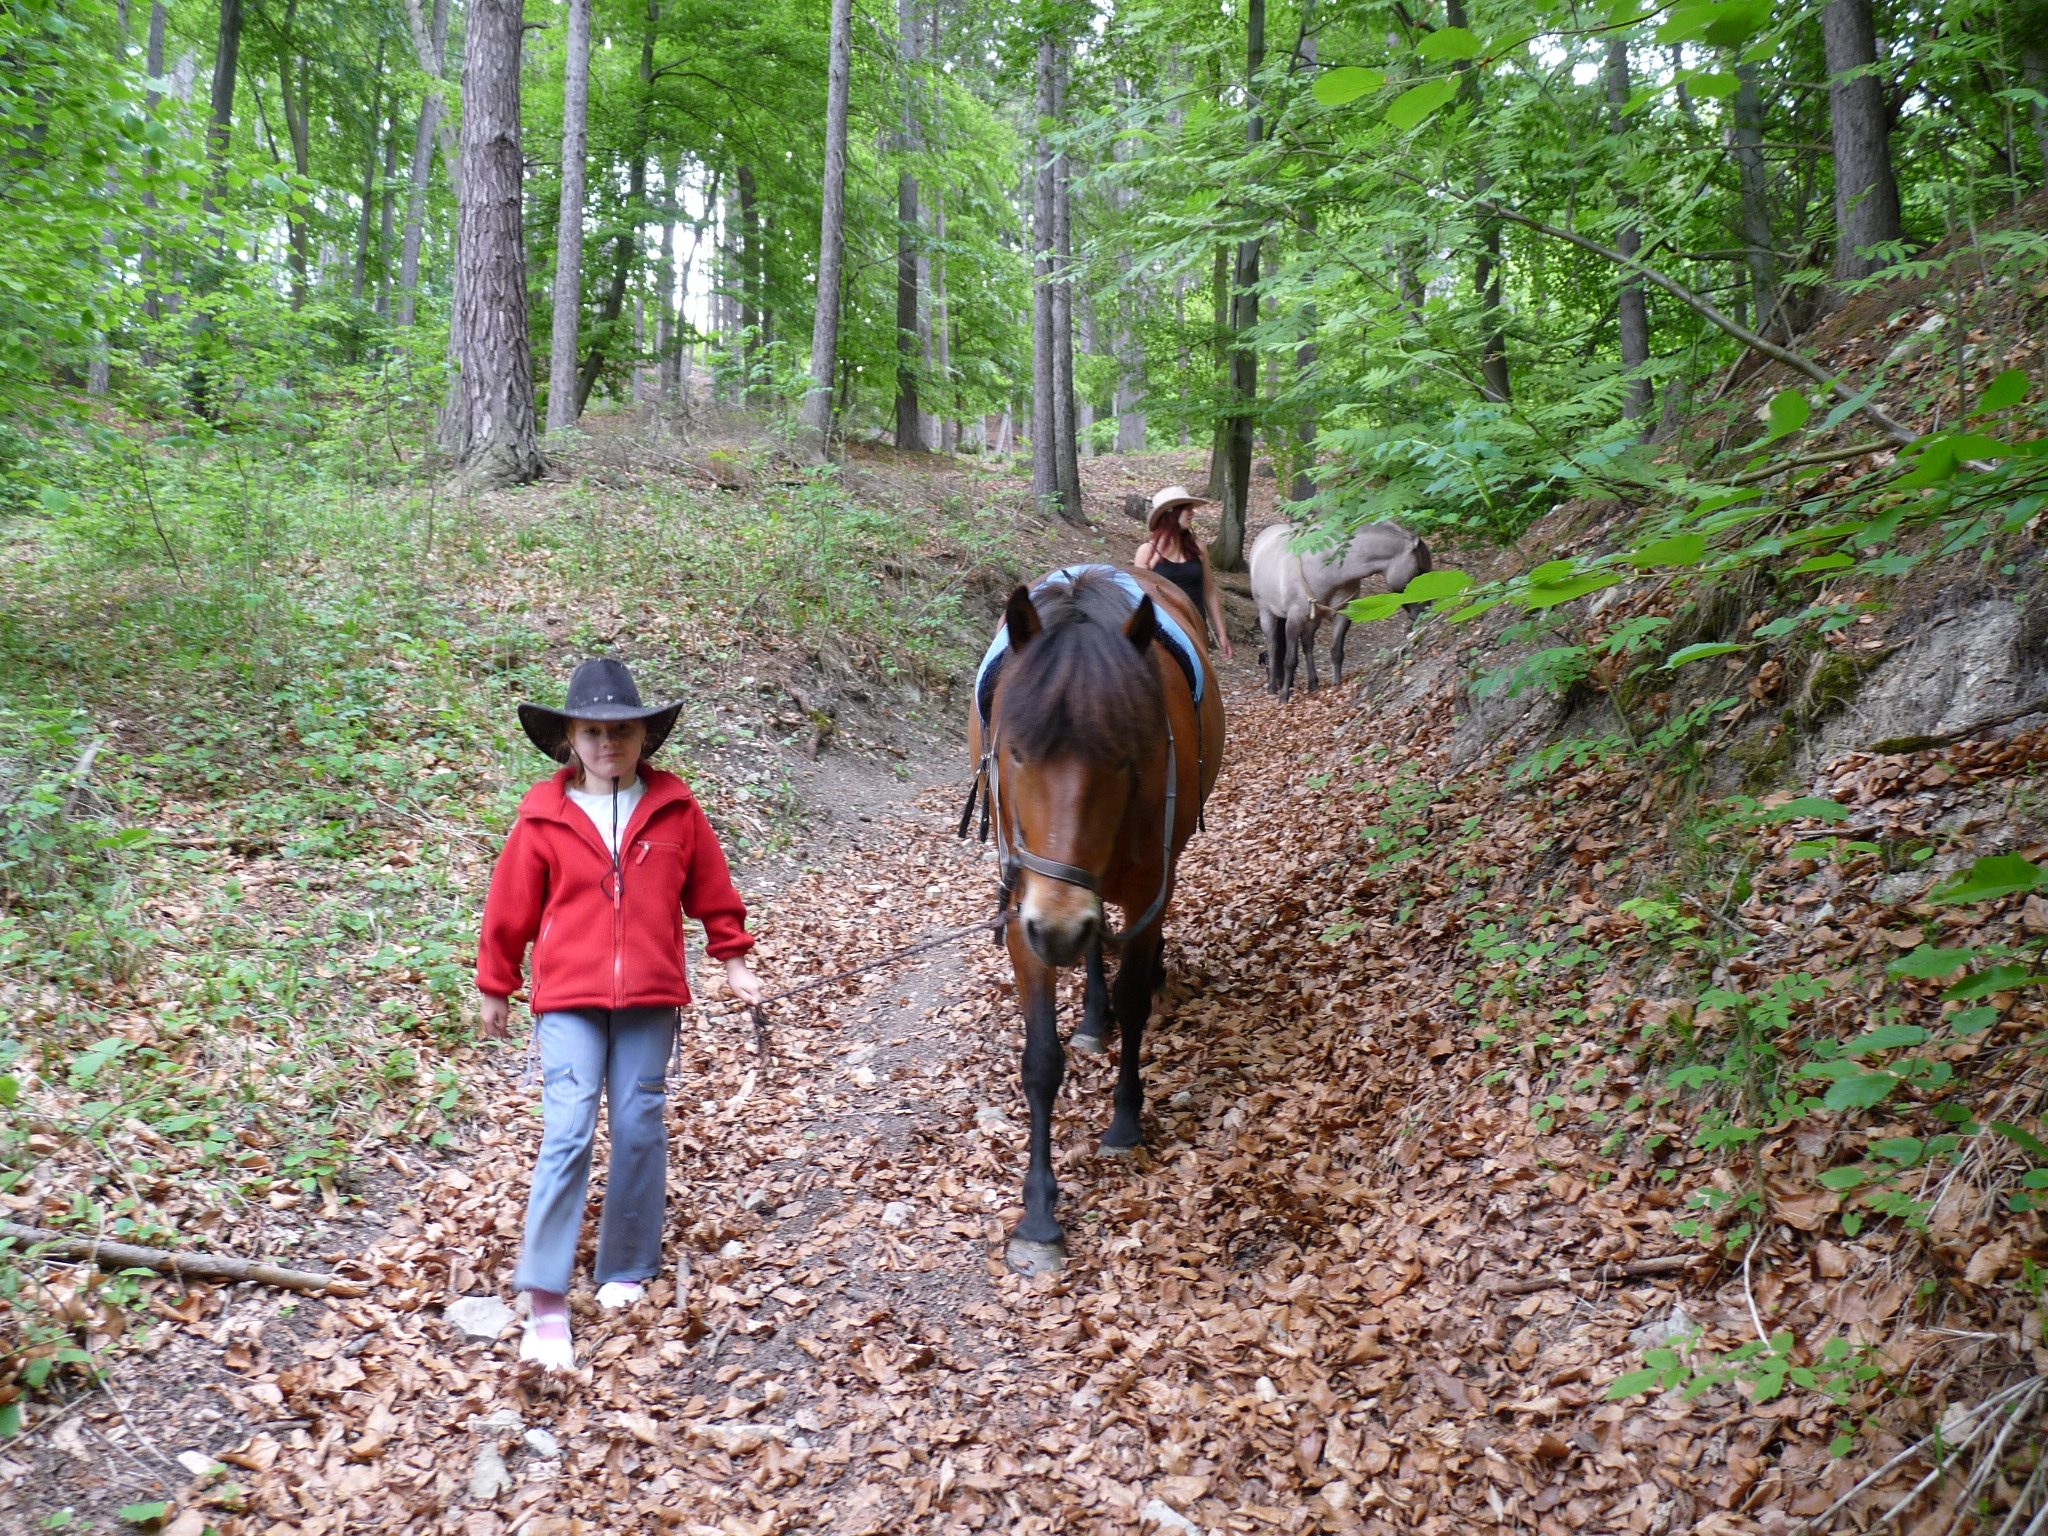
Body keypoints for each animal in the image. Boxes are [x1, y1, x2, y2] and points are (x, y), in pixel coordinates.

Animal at [954, 565, 1212, 1277]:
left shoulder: (1148, 889)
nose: (1061, 924)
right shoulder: (1025, 904)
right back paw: (1092, 1017)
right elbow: (1041, 1058)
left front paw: (1125, 1122)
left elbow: (1133, 1001)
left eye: (1127, 756)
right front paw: (1038, 1217)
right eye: (1015, 753)